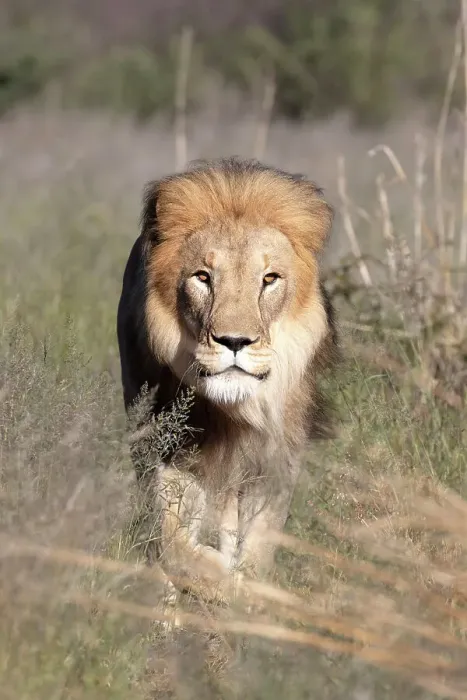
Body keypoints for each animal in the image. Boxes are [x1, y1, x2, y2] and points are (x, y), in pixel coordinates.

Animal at [117, 157, 338, 613]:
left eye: (269, 279)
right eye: (203, 277)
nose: (234, 341)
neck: (234, 412)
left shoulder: (276, 460)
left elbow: (260, 546)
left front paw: (247, 598)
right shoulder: (169, 450)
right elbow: (172, 543)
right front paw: (218, 582)